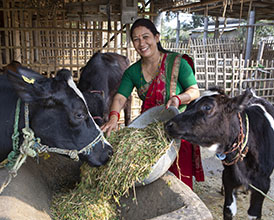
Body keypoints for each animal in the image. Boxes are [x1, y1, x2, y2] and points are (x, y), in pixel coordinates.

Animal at [165, 87, 274, 220]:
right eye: (189, 105)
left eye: (207, 107)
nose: (168, 124)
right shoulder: (228, 176)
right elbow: (228, 210)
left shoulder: (263, 184)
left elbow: (254, 214)